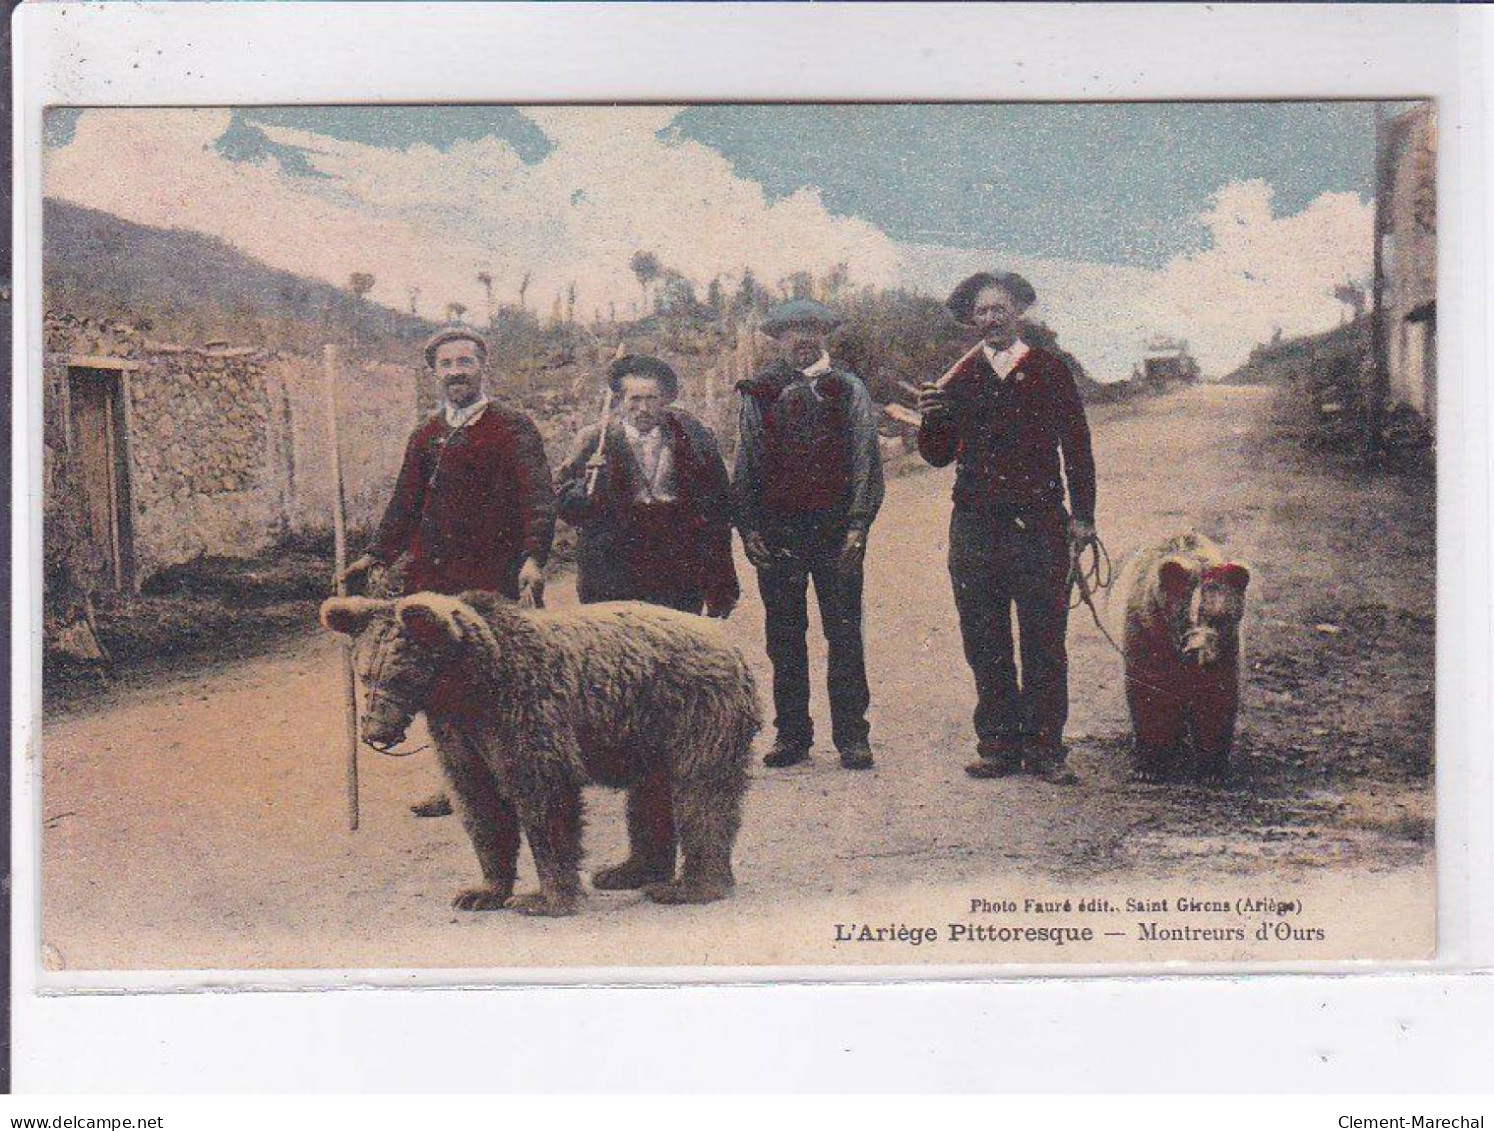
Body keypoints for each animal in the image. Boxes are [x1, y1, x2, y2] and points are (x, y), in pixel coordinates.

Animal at [315, 591, 758, 920]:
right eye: (365, 674)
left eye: (401, 675)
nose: (374, 732)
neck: (468, 687)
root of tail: (732, 645)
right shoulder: (461, 735)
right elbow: (479, 804)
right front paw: (481, 891)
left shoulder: (525, 710)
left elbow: (545, 797)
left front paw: (544, 898)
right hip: (648, 732)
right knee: (650, 797)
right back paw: (626, 871)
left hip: (696, 711)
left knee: (701, 794)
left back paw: (690, 886)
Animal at [1123, 531, 1248, 782]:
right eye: (1183, 615)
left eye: (1220, 617)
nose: (1197, 649)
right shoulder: (1148, 632)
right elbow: (1148, 692)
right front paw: (1149, 766)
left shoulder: (1226, 650)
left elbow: (1217, 698)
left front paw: (1213, 771)